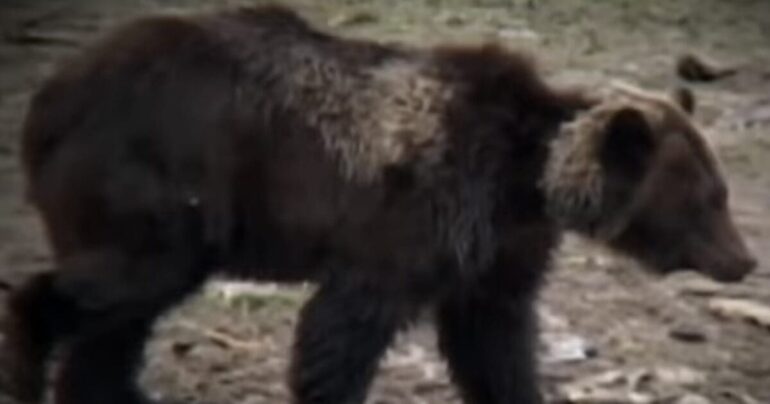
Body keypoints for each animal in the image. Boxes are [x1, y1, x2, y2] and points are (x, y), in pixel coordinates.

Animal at [0, 5, 756, 404]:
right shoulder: (412, 219)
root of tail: (51, 95)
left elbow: (495, 340)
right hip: (156, 185)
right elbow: (342, 331)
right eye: (708, 198)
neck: (527, 177)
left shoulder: (497, 250)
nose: (745, 261)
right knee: (115, 284)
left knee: (119, 323)